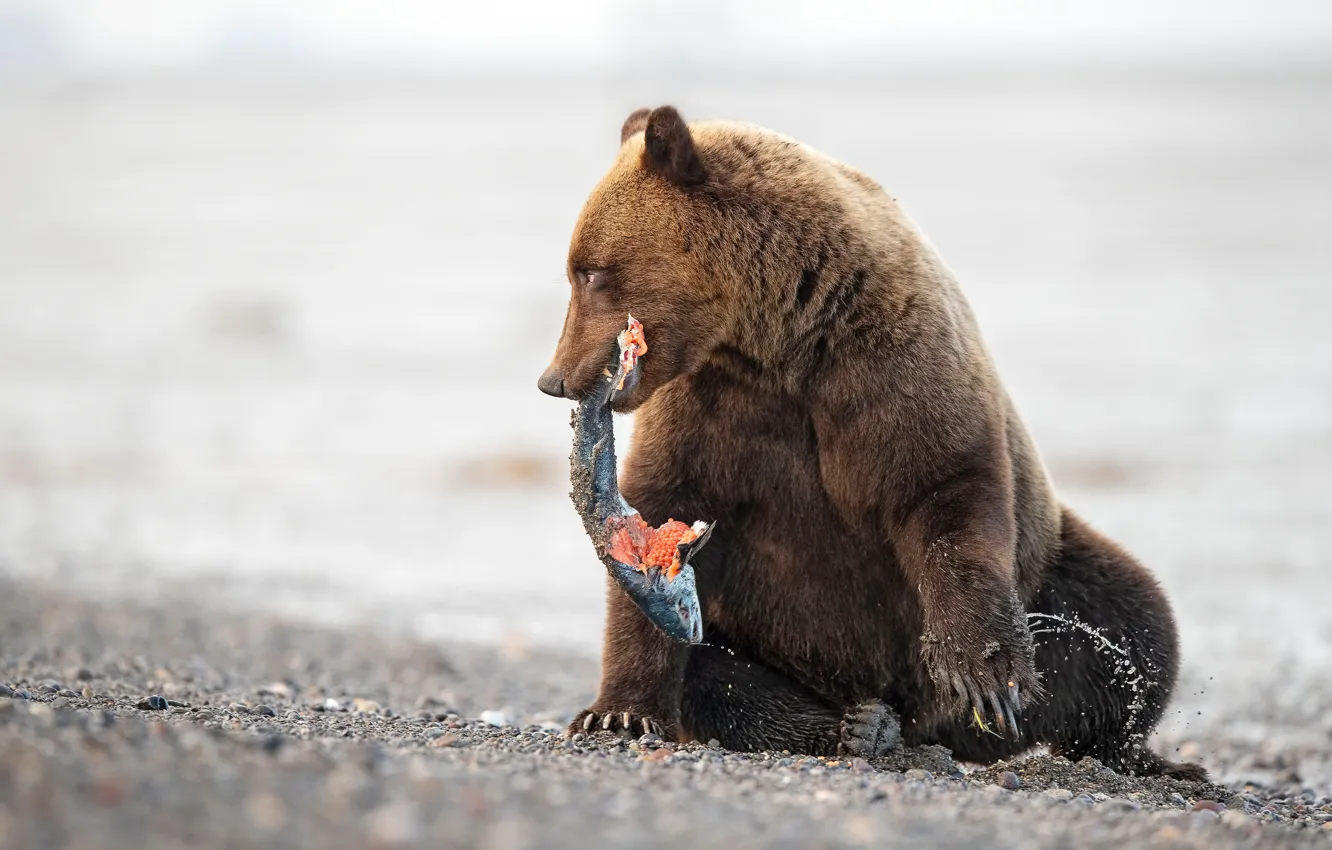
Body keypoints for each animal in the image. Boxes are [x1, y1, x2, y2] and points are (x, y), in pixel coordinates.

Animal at [537, 105, 1204, 779]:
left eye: (589, 271)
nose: (555, 379)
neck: (778, 340)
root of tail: (932, 729)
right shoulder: (712, 411)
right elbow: (659, 516)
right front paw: (618, 714)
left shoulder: (890, 373)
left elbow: (944, 495)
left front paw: (985, 675)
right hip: (756, 636)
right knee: (718, 679)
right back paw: (858, 728)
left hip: (1051, 567)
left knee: (1129, 623)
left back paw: (1140, 754)